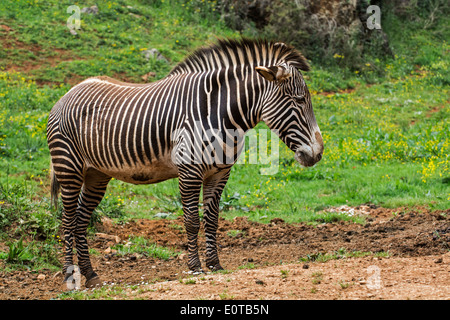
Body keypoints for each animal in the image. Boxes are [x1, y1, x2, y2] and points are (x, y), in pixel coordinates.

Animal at [47, 38, 324, 288]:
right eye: (300, 100)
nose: (319, 154)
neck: (219, 114)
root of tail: (68, 92)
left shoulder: (219, 173)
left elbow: (212, 219)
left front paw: (214, 264)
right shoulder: (189, 170)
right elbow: (191, 220)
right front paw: (195, 267)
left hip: (96, 174)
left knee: (80, 220)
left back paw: (91, 275)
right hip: (69, 169)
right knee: (67, 221)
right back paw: (69, 276)